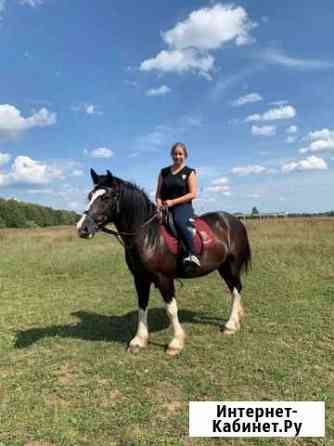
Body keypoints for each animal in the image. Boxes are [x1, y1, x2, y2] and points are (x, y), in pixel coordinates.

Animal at [77, 170, 250, 356]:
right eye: (90, 196)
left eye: (106, 197)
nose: (82, 228)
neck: (147, 235)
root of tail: (233, 220)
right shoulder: (140, 278)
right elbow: (142, 306)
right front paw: (139, 340)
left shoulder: (164, 279)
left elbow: (171, 309)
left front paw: (176, 343)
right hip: (223, 267)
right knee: (234, 289)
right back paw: (238, 317)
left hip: (231, 265)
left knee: (236, 290)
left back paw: (230, 325)